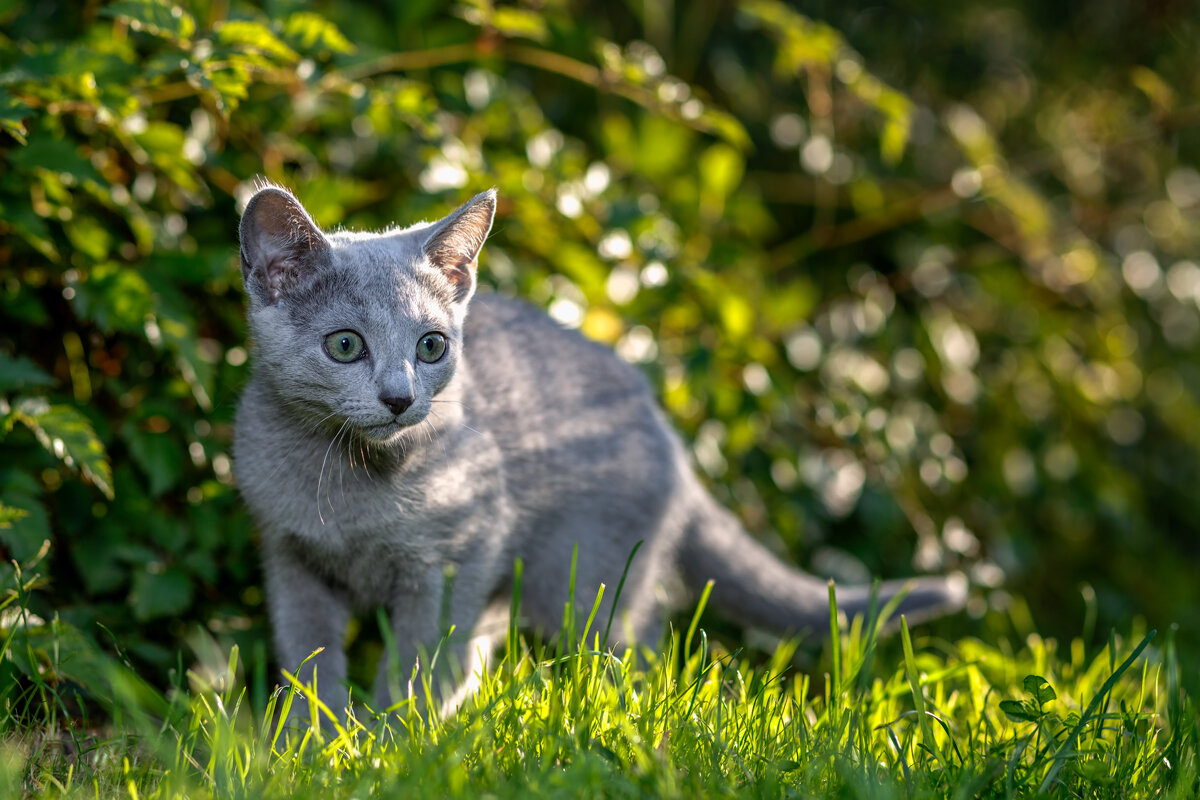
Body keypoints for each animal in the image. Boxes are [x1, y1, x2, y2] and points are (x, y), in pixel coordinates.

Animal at [234, 185, 964, 719]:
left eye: (431, 346)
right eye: (345, 345)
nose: (399, 397)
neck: (347, 484)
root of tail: (667, 436)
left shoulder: (455, 556)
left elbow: (416, 662)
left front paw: (388, 744)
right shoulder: (289, 556)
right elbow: (308, 657)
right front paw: (312, 745)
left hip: (590, 578)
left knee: (619, 659)